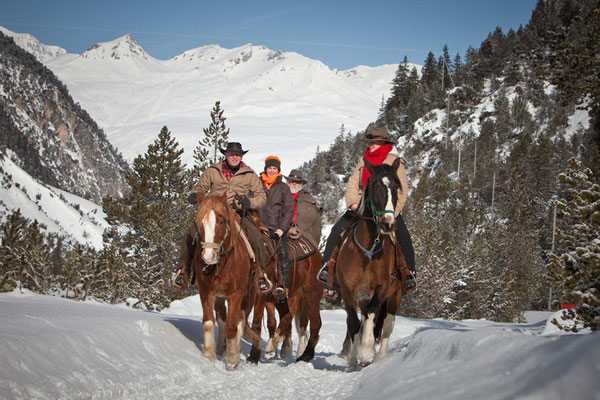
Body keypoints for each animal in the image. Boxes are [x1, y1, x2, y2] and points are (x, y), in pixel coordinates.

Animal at [191, 193, 258, 368]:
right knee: (222, 319)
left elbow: (232, 326)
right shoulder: (206, 291)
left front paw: (232, 359)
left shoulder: (236, 294)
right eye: (199, 222)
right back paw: (222, 348)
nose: (208, 256)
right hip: (220, 297)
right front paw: (208, 355)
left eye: (220, 222)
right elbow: (209, 322)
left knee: (240, 321)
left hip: (249, 297)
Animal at [247, 236, 326, 364]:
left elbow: (256, 322)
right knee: (288, 318)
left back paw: (304, 354)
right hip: (282, 300)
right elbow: (271, 322)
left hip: (310, 297)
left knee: (313, 323)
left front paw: (253, 357)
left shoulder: (260, 295)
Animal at [336, 158, 410, 368]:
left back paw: (379, 357)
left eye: (396, 187)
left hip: (394, 297)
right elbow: (353, 323)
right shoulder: (347, 290)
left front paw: (366, 351)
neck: (368, 251)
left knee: (387, 325)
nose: (388, 224)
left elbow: (372, 315)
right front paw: (352, 359)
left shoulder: (381, 289)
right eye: (375, 186)